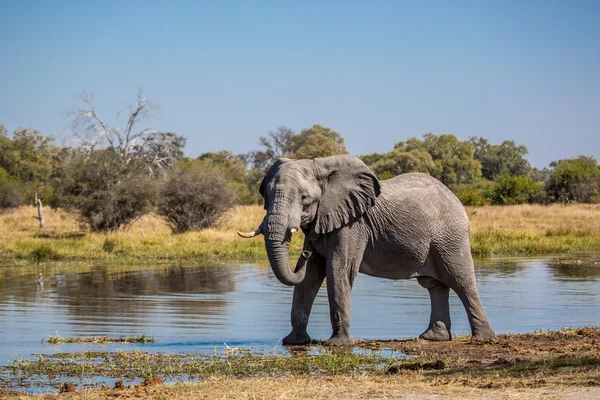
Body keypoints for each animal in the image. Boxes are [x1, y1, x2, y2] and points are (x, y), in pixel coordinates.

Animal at [237, 155, 494, 346]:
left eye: (304, 198)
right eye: (265, 195)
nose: (304, 253)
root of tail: (455, 197)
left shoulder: (353, 225)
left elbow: (338, 270)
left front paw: (337, 344)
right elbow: (309, 278)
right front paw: (293, 342)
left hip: (450, 237)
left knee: (461, 281)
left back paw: (483, 339)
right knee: (435, 286)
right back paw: (433, 338)